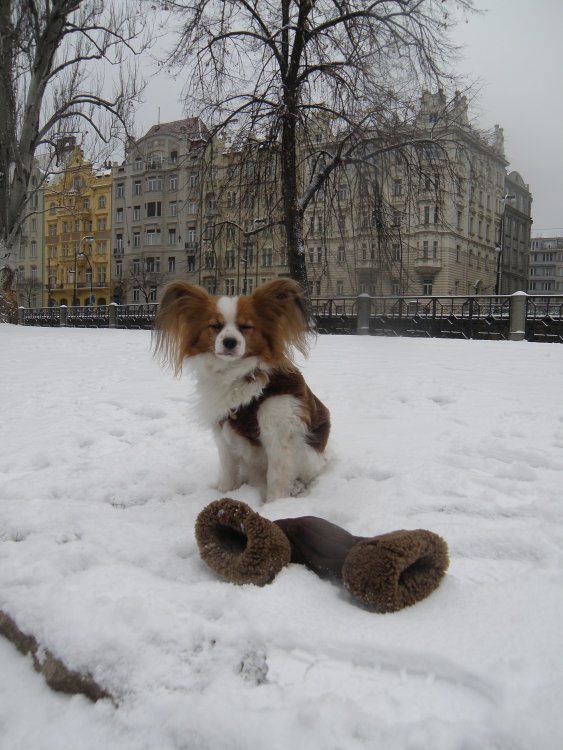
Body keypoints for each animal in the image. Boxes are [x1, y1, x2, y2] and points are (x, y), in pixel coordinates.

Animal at [154, 280, 330, 502]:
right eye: (215, 326)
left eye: (246, 327)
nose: (229, 342)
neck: (238, 375)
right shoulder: (223, 430)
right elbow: (228, 470)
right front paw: (224, 493)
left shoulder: (279, 431)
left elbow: (277, 479)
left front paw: (275, 506)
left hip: (308, 456)